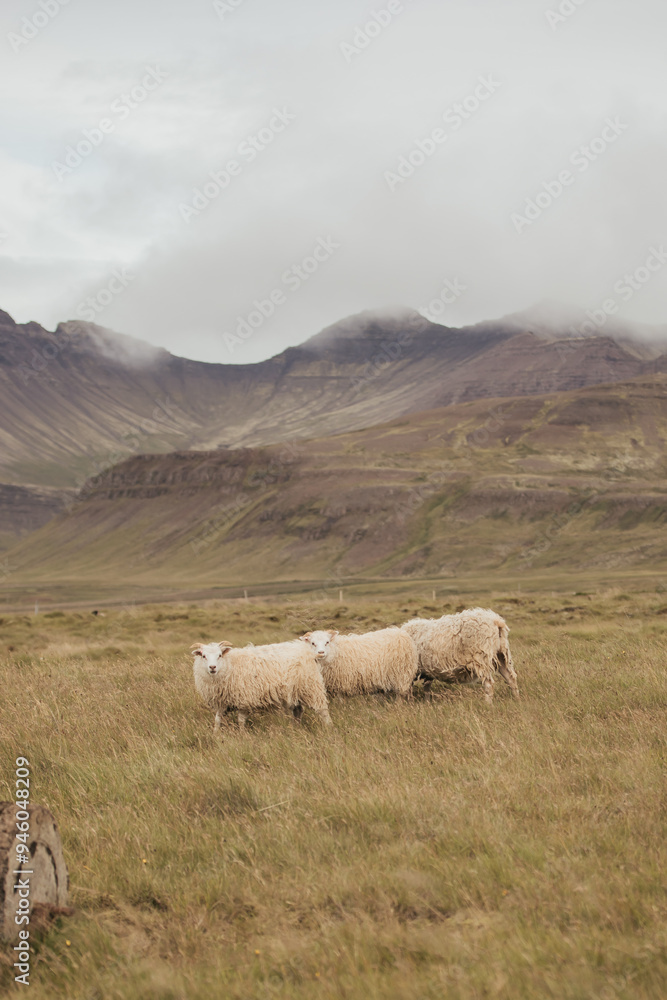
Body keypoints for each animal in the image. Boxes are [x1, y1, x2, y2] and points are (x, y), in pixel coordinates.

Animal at [191, 640, 332, 731]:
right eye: (203, 656)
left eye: (219, 655)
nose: (212, 667)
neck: (230, 664)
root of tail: (309, 653)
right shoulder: (221, 702)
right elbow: (217, 720)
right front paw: (216, 734)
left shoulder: (244, 700)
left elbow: (240, 720)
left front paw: (242, 734)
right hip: (294, 691)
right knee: (298, 710)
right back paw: (295, 728)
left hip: (311, 687)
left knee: (322, 710)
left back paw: (328, 728)